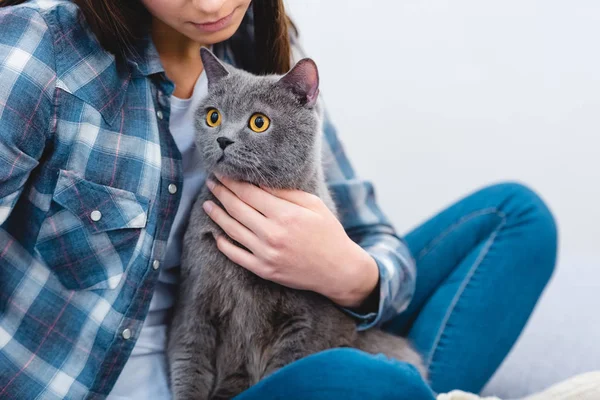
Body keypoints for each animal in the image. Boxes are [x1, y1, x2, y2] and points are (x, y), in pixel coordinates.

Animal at [166, 47, 424, 400]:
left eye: (259, 122)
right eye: (213, 117)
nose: (222, 140)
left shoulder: (307, 321)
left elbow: (287, 369)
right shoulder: (195, 300)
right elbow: (189, 360)